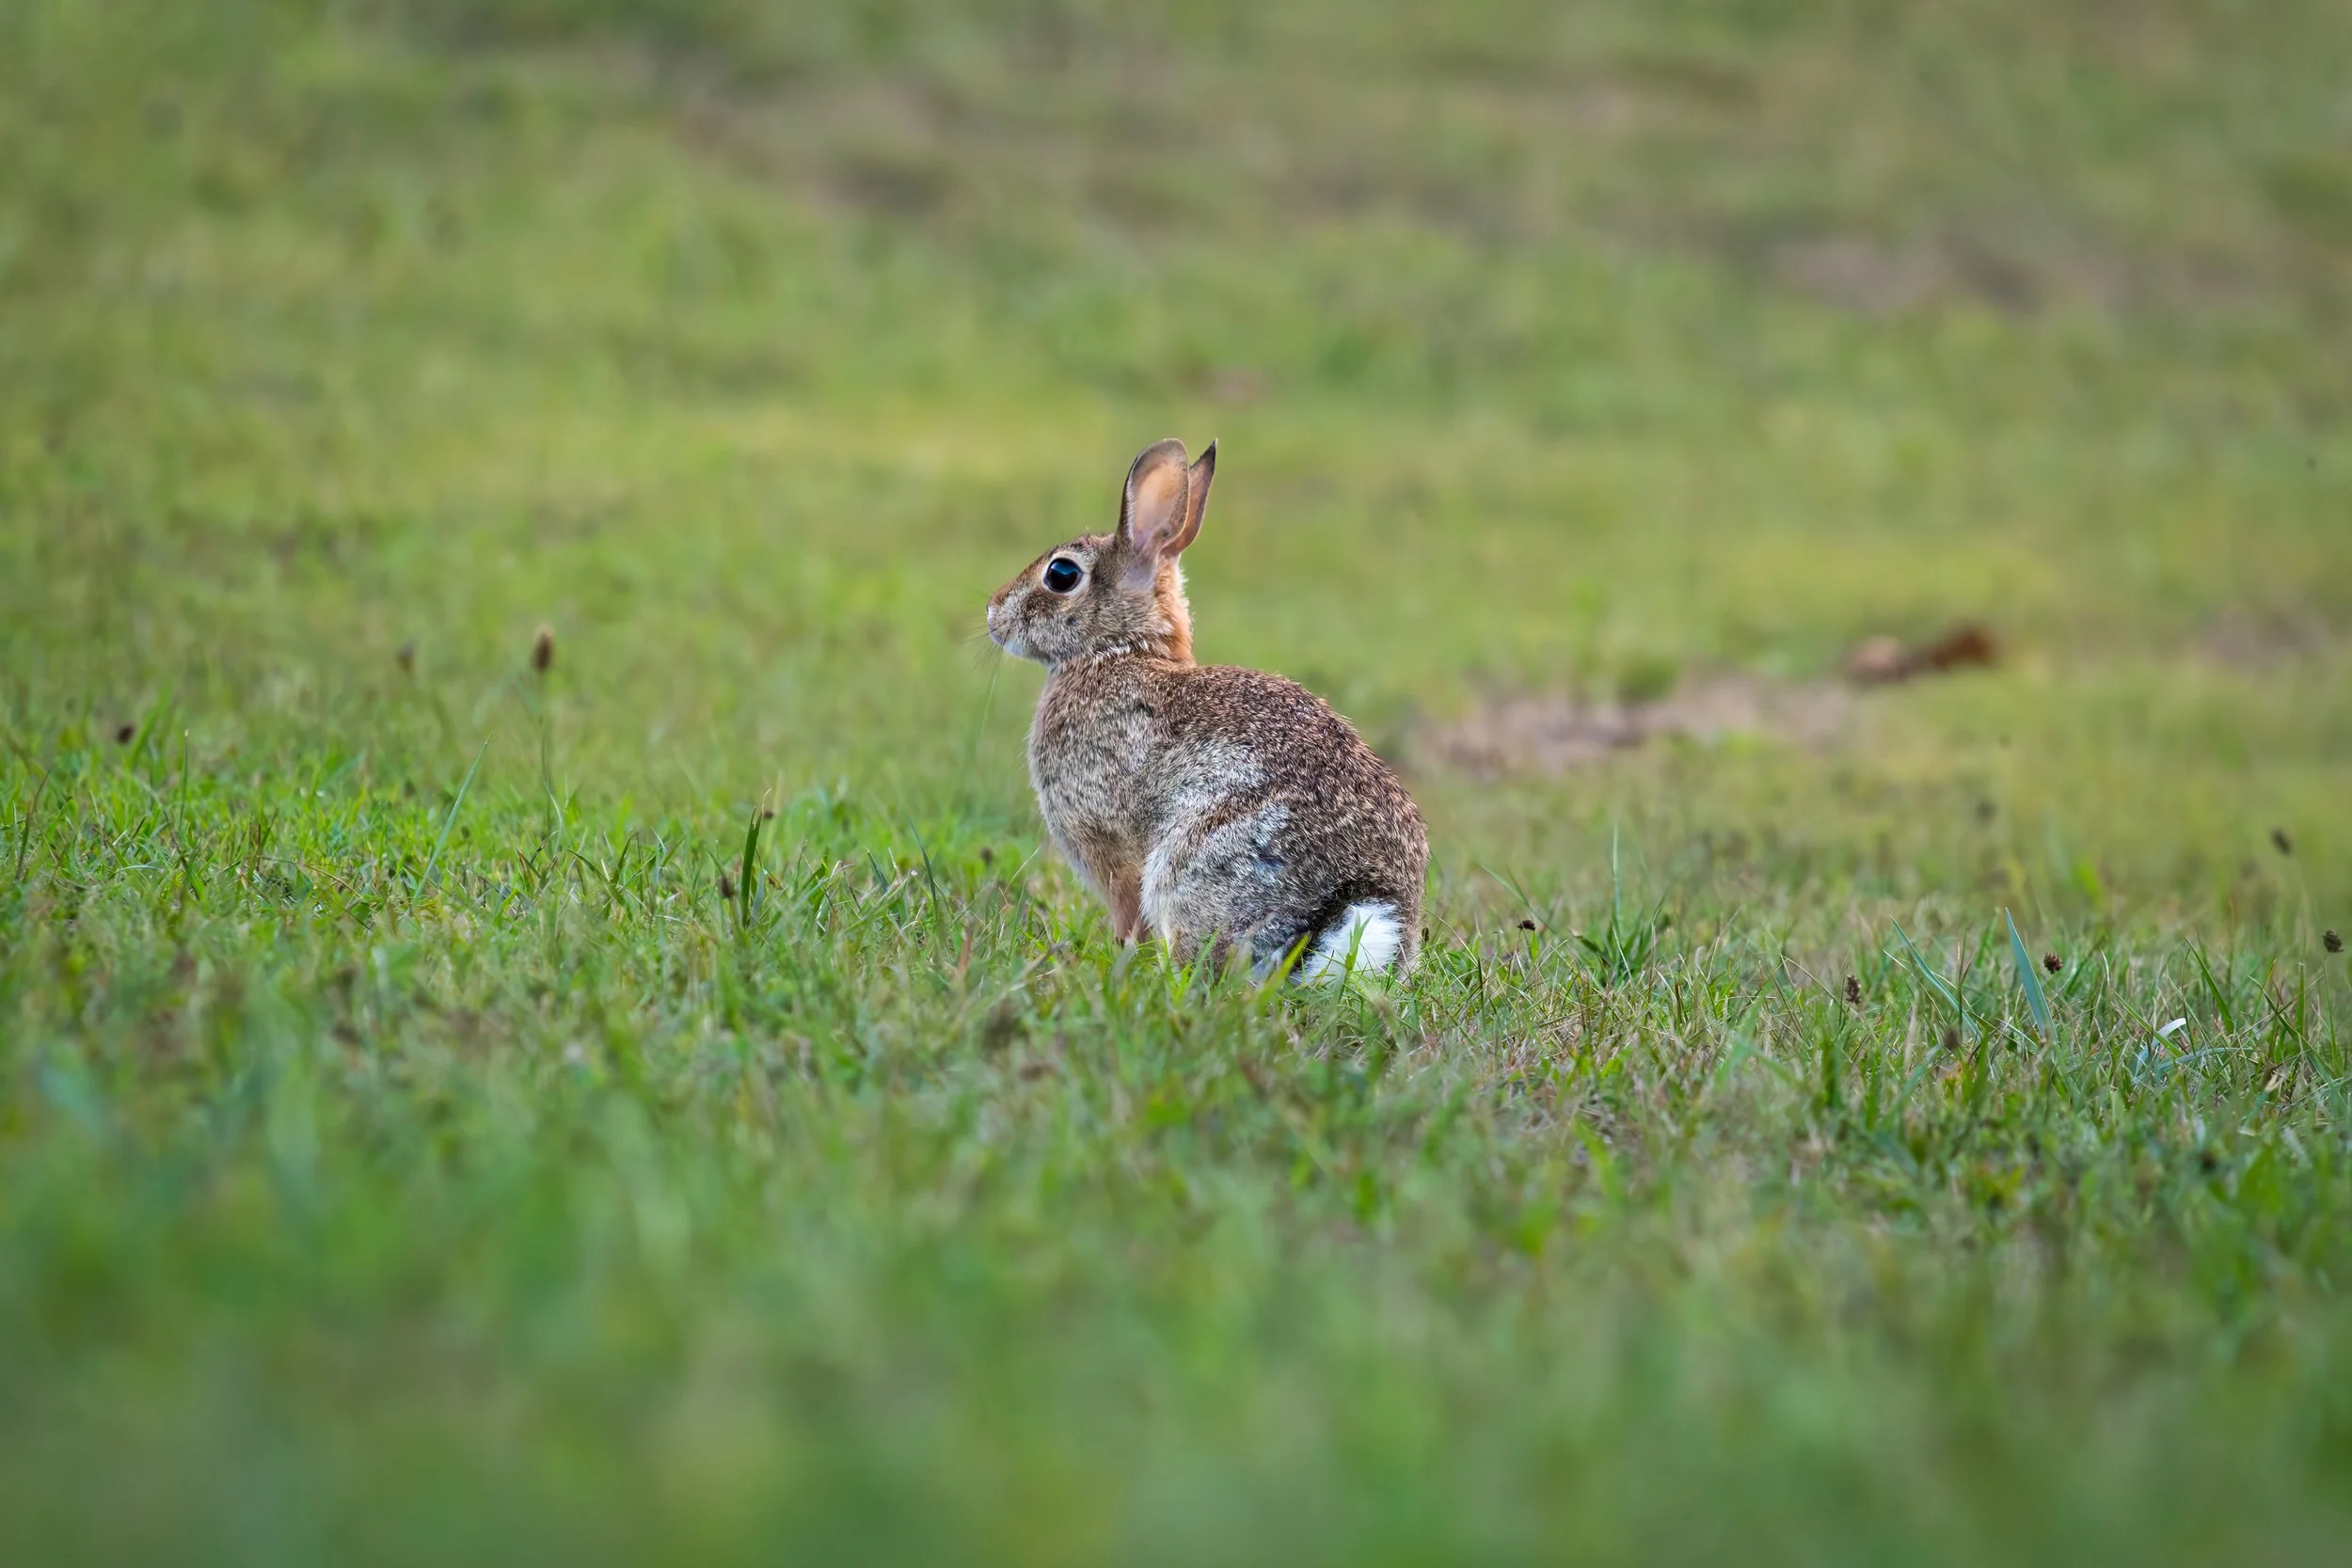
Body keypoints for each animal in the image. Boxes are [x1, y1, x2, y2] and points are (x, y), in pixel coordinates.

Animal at [986, 437, 1428, 980]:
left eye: (1061, 575)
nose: (993, 612)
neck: (1118, 651)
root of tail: (1350, 911)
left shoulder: (1108, 843)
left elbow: (1128, 915)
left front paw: (1120, 960)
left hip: (1191, 865)